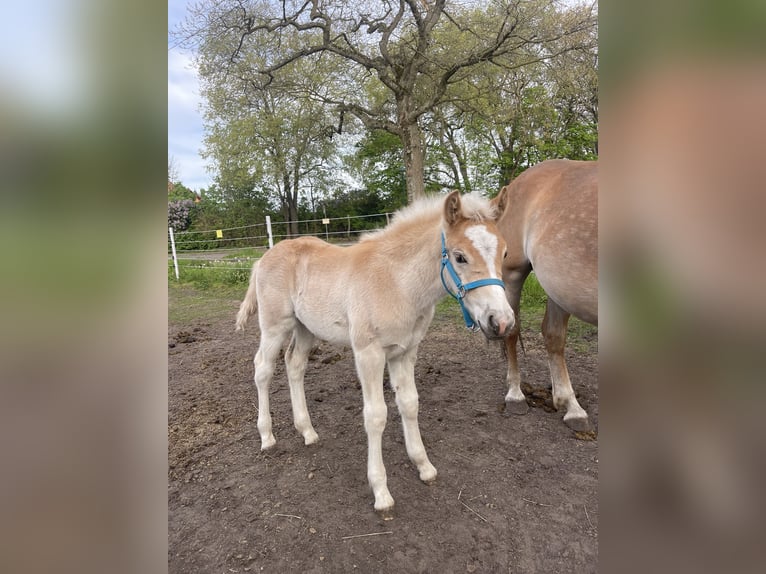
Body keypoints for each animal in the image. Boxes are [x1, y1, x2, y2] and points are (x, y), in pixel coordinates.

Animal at [234, 192, 516, 516]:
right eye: (459, 257)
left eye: (505, 253)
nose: (501, 321)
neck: (398, 283)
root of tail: (264, 257)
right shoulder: (368, 354)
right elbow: (376, 415)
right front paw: (381, 491)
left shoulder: (405, 352)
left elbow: (409, 404)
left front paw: (424, 466)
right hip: (274, 326)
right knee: (263, 370)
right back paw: (267, 436)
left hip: (305, 328)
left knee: (295, 365)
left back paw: (307, 432)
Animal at [492, 160, 600, 434]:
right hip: (513, 273)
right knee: (513, 331)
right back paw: (516, 396)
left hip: (559, 286)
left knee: (553, 336)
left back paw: (571, 407)